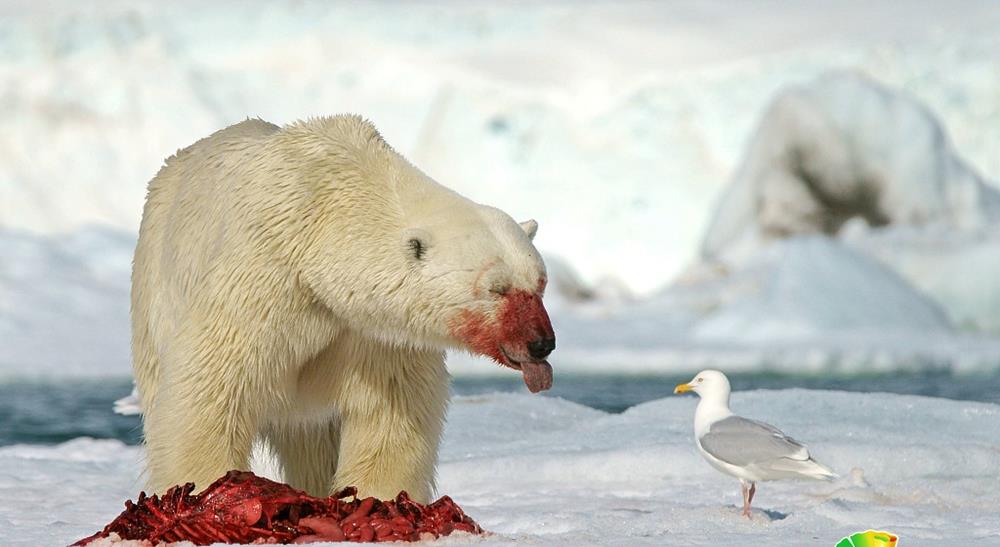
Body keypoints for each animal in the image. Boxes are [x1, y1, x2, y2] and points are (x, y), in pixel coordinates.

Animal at [131, 116, 556, 506]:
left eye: (540, 284)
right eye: (497, 288)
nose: (541, 343)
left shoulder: (377, 329)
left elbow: (391, 409)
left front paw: (379, 502)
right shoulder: (264, 276)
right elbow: (215, 382)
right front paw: (204, 494)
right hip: (154, 288)